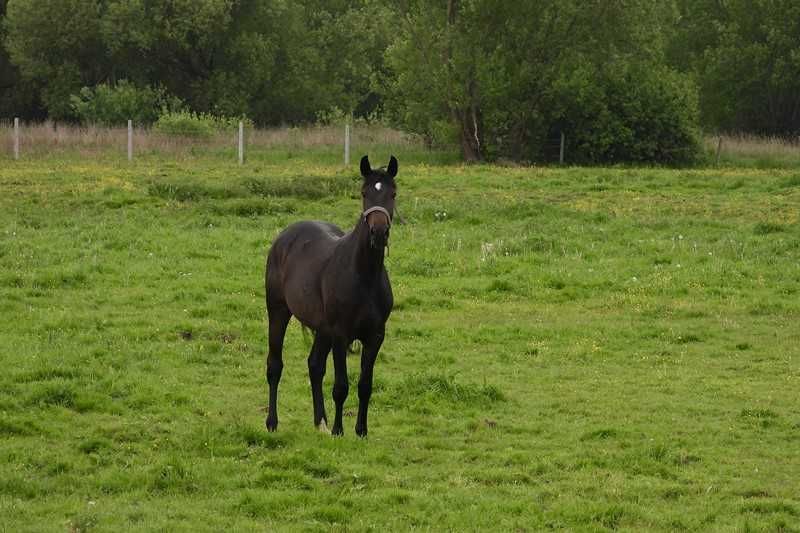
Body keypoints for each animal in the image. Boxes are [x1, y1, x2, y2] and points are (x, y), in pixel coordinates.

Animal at [264, 155, 398, 436]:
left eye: (393, 193)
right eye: (364, 193)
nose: (379, 233)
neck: (363, 275)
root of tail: (285, 235)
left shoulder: (375, 337)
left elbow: (365, 386)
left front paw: (361, 431)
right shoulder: (340, 334)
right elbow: (341, 386)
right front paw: (339, 431)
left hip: (321, 328)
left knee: (314, 366)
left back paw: (320, 422)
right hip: (278, 311)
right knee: (274, 366)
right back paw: (272, 422)